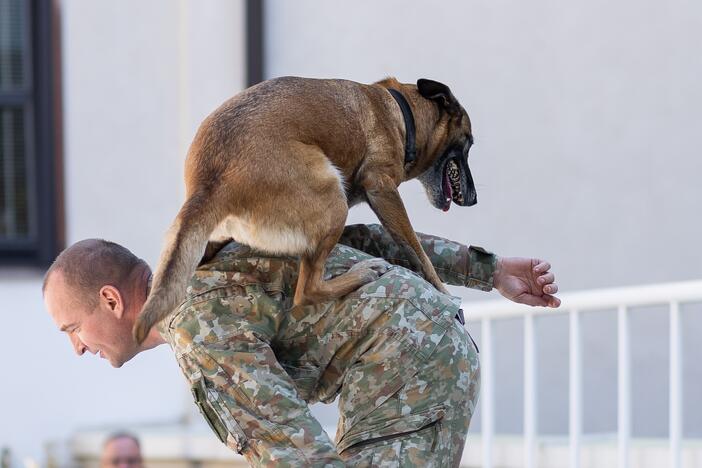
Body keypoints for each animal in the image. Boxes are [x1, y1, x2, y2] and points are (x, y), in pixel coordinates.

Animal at [133, 77, 478, 344]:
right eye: (469, 143)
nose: (474, 199)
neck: (400, 112)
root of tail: (210, 182)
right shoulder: (382, 189)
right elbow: (417, 251)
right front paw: (444, 293)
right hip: (333, 197)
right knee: (307, 290)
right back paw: (361, 273)